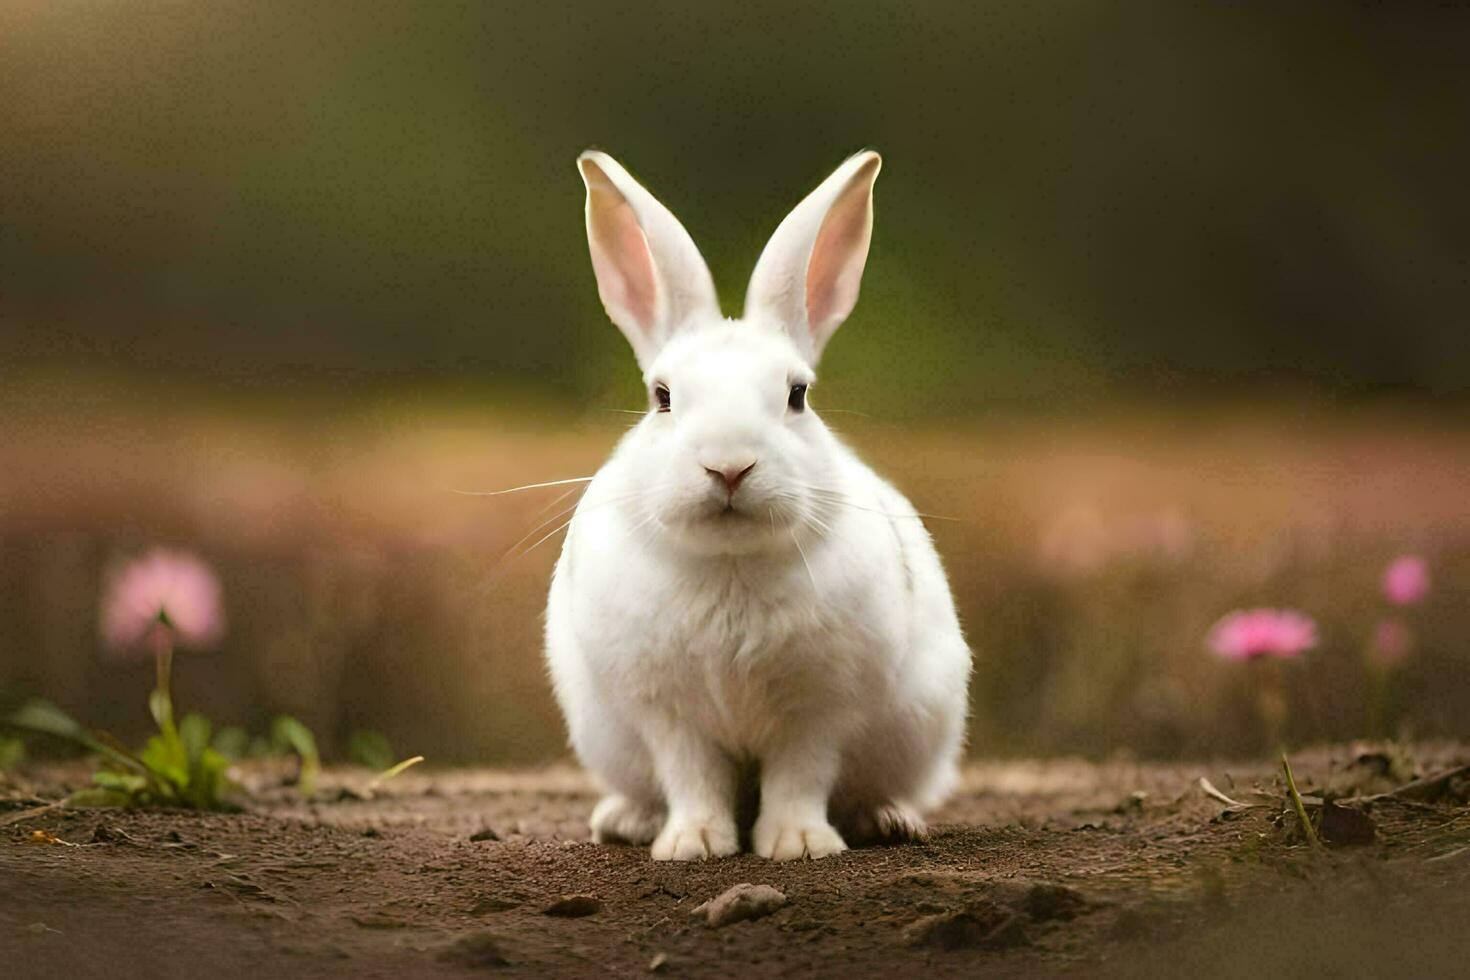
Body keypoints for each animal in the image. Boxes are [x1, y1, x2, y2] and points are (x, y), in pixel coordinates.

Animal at [546, 149, 970, 863]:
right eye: (661, 397)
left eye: (798, 395)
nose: (728, 465)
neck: (730, 563)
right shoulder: (668, 715)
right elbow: (692, 776)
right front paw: (693, 844)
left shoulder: (821, 710)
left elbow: (802, 774)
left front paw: (798, 844)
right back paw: (628, 820)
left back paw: (887, 819)